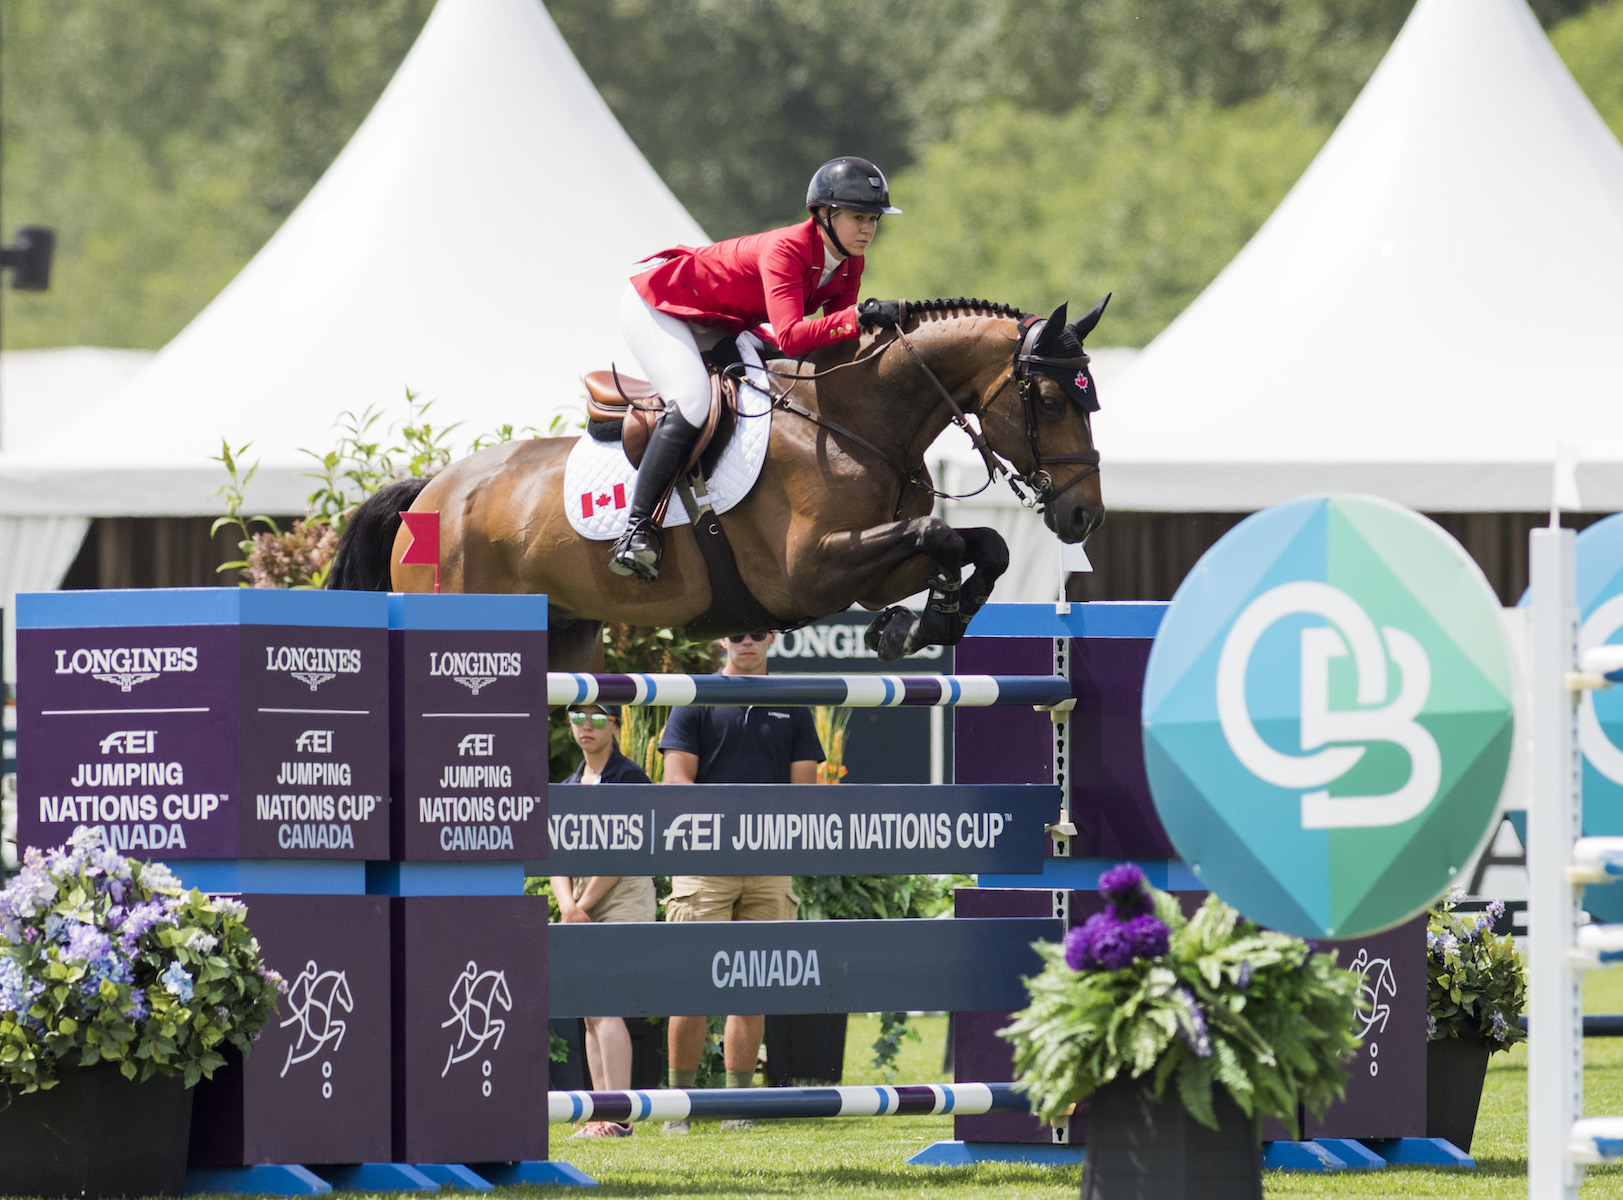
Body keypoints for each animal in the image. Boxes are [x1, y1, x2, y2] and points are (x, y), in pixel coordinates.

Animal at [334, 295, 1110, 672]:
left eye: (1089, 398)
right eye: (1049, 400)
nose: (1083, 518)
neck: (855, 420)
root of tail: (430, 492)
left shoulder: (868, 571)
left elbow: (979, 545)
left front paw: (923, 622)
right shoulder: (808, 572)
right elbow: (938, 532)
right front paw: (923, 621)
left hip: (566, 634)